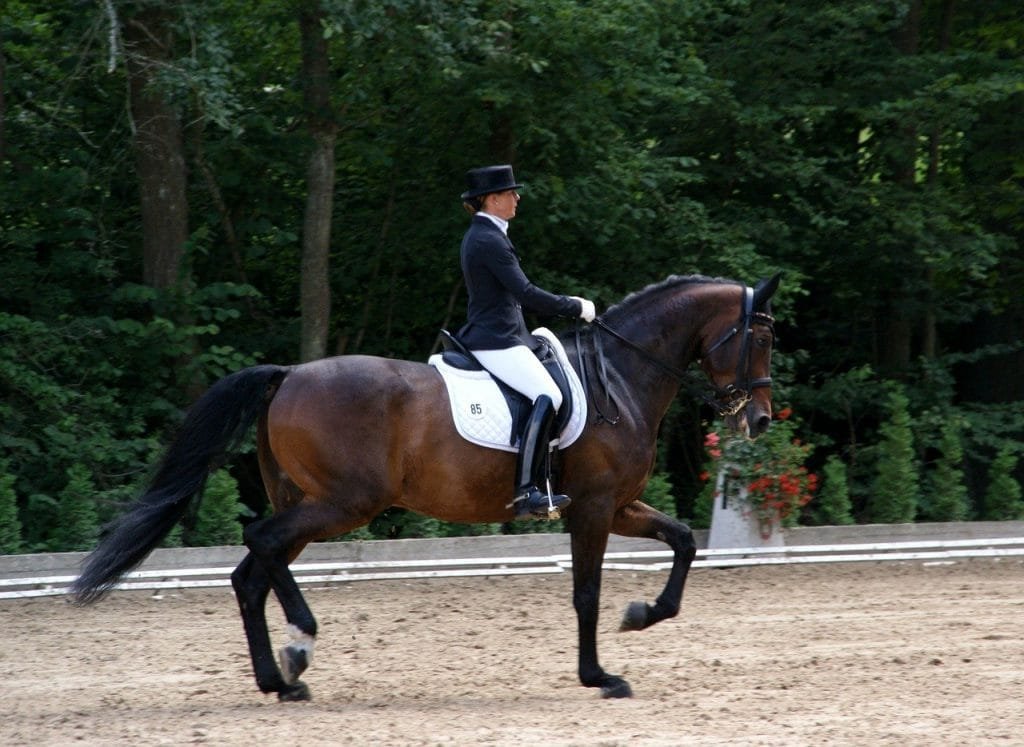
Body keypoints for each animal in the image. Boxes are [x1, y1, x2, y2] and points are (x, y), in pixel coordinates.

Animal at [72, 273, 780, 702]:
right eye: (763, 336)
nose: (759, 419)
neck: (621, 376)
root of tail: (288, 374)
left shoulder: (620, 504)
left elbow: (684, 540)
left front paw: (642, 615)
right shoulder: (595, 508)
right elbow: (585, 593)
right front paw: (599, 675)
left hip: (308, 501)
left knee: (252, 572)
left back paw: (280, 680)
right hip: (342, 503)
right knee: (261, 544)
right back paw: (301, 642)